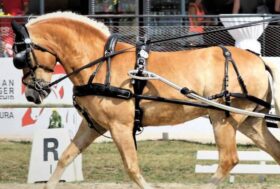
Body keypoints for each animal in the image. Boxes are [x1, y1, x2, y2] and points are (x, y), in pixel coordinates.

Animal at [10, 11, 280, 189]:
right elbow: (65, 157)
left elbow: (131, 167)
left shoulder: (120, 126)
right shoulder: (93, 126)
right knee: (273, 150)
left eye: (21, 57)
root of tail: (259, 60)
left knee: (228, 159)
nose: (32, 94)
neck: (100, 63)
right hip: (249, 121)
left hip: (223, 118)